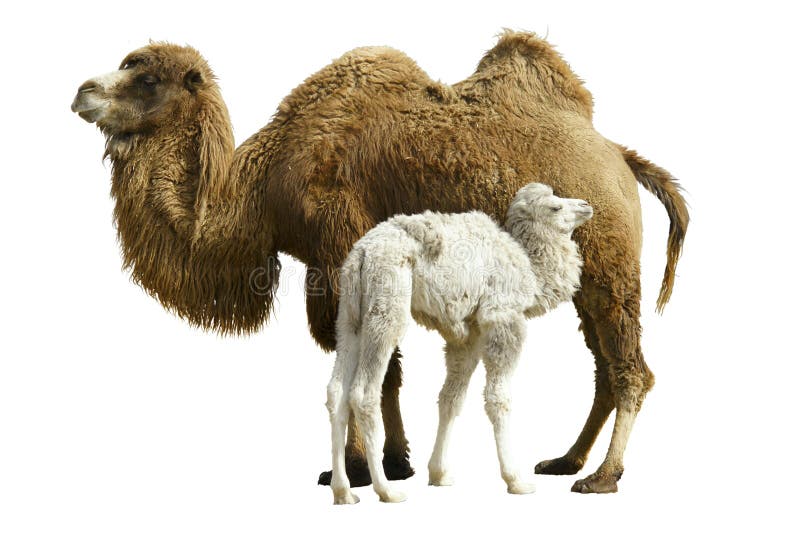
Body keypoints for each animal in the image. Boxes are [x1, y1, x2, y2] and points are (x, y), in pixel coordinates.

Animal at [327, 183, 592, 504]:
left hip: (349, 315)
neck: (530, 269)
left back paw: (343, 492)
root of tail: (363, 254)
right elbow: (498, 399)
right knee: (364, 393)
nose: (586, 205)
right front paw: (516, 479)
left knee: (336, 391)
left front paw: (439, 473)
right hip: (387, 306)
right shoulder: (502, 320)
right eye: (555, 207)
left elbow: (450, 399)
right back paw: (387, 490)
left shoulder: (468, 336)